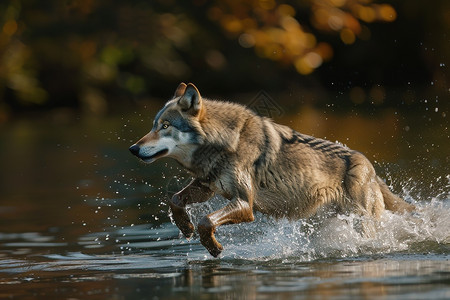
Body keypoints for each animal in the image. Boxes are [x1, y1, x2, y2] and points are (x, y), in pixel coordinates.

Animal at [128, 83, 414, 256]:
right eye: (154, 125)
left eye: (165, 126)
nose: (133, 148)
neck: (222, 142)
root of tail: (368, 165)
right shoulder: (207, 187)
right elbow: (175, 201)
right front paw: (185, 228)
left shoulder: (245, 204)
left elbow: (205, 220)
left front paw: (214, 247)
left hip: (361, 222)